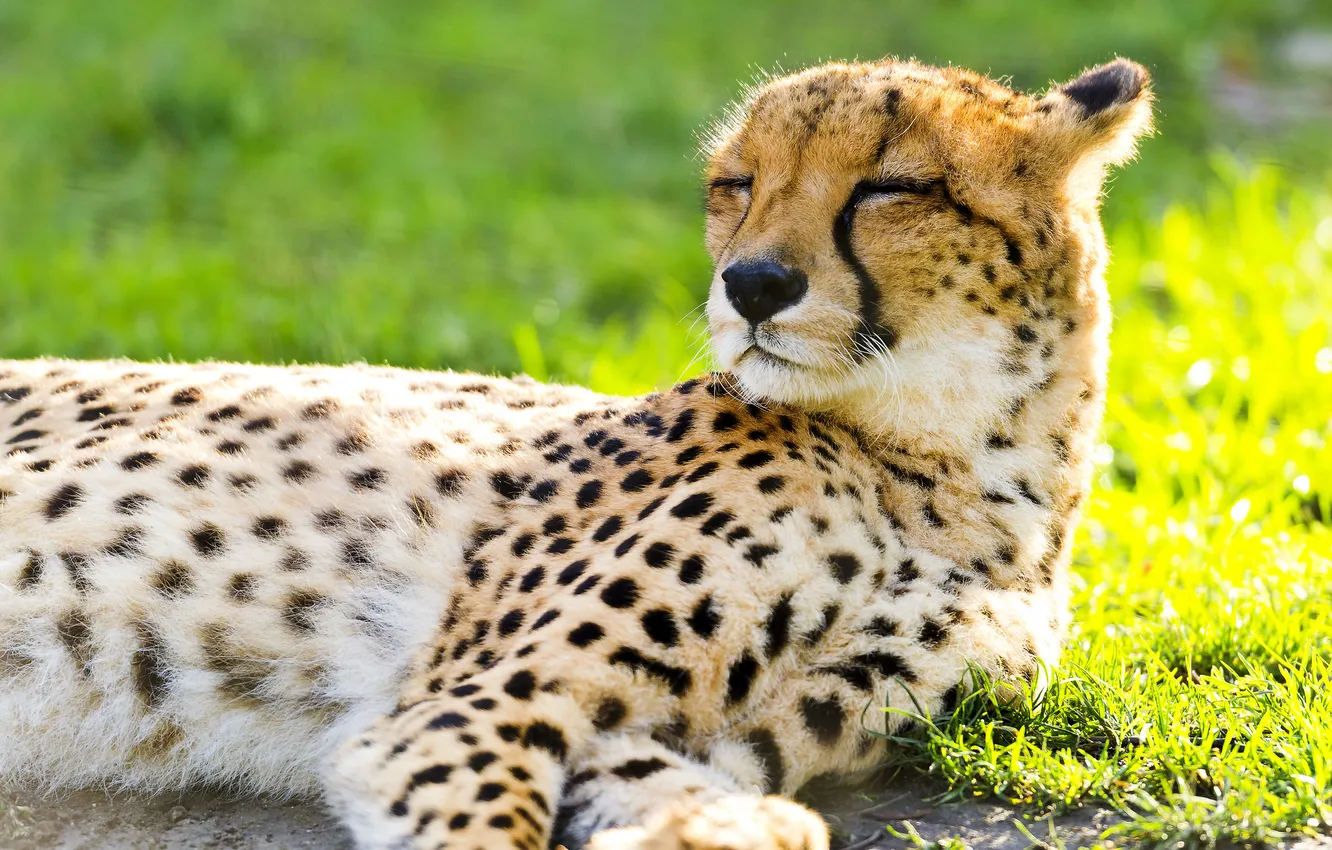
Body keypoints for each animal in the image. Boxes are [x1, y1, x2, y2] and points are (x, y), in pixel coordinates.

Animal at [0, 56, 1152, 850]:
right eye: (736, 183)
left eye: (891, 187)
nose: (753, 284)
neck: (963, 475)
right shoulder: (458, 714)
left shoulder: (667, 732)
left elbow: (688, 787)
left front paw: (733, 827)